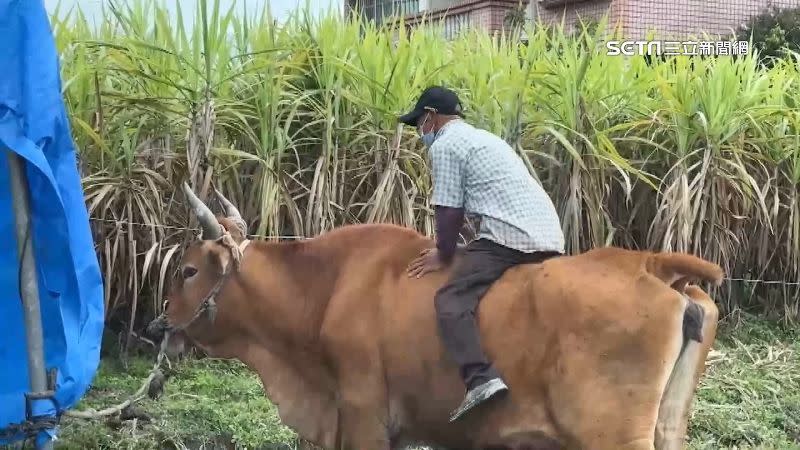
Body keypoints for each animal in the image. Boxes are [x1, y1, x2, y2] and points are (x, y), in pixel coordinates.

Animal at [147, 183, 720, 450]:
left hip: (611, 435)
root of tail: (649, 263)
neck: (324, 289)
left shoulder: (363, 418)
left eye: (188, 269)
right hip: (668, 426)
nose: (158, 325)